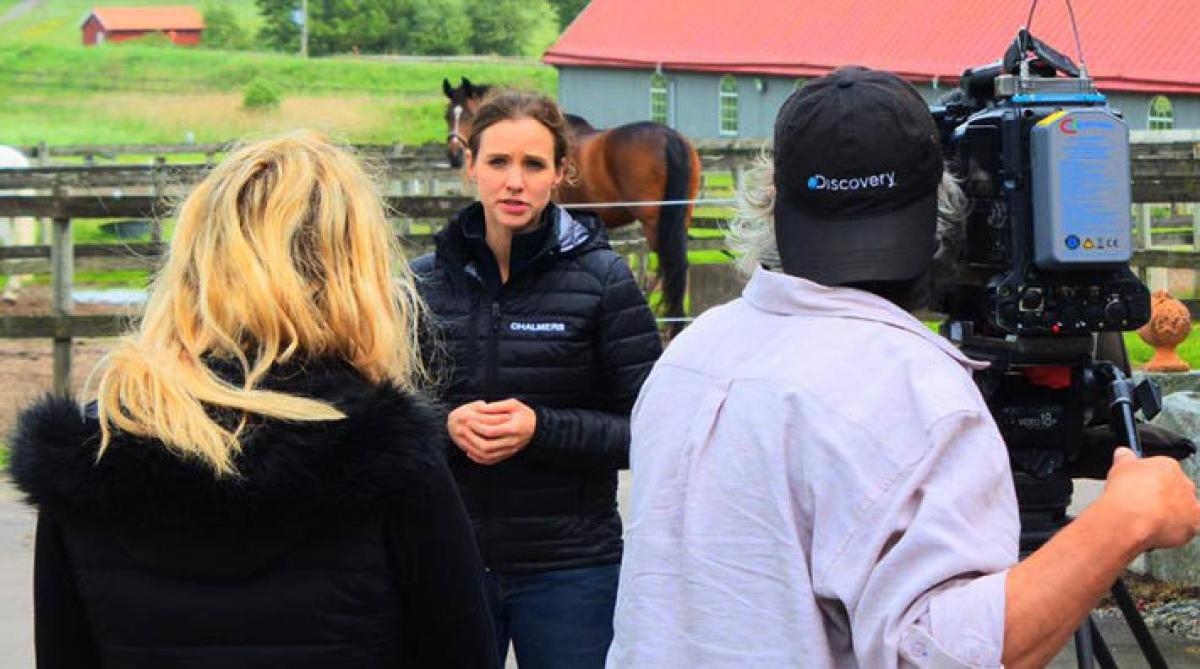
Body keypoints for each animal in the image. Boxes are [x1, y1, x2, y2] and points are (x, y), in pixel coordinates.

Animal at [441, 78, 700, 335]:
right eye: (447, 115)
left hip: (653, 220)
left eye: (468, 115)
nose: (454, 156)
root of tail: (671, 139)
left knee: (668, 264)